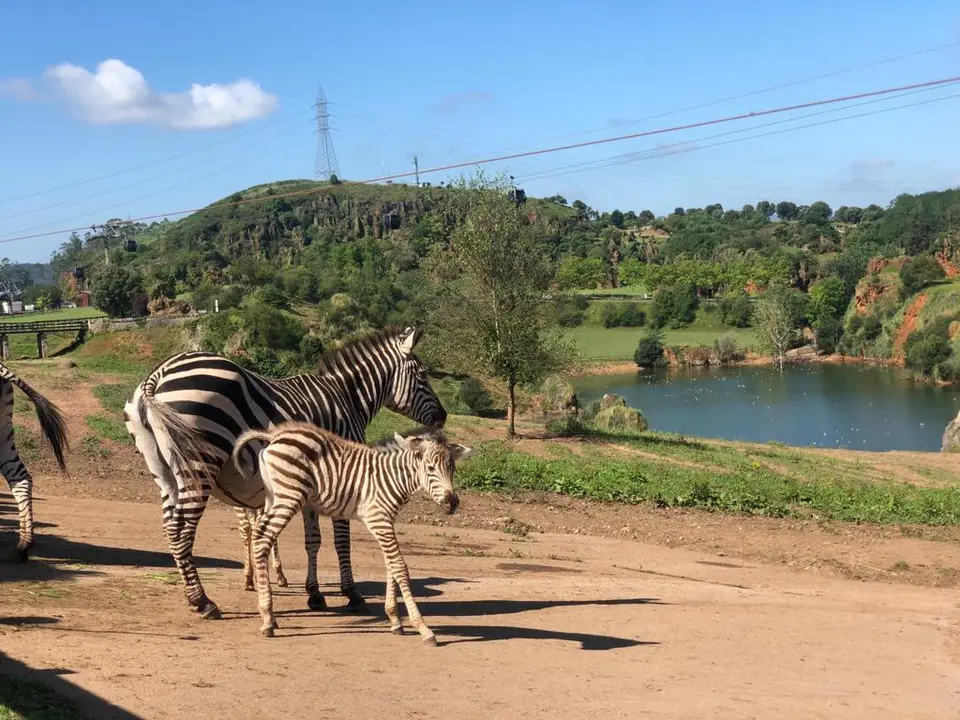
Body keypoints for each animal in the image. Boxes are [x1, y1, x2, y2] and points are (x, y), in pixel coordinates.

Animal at [123, 325, 448, 620]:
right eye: (422, 376)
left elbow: (312, 539)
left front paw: (314, 594)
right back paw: (202, 601)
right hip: (200, 463)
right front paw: (352, 594)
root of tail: (159, 374)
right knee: (182, 529)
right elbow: (341, 539)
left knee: (171, 528)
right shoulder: (345, 472)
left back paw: (195, 596)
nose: (443, 417)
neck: (348, 399)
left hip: (165, 474)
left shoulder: (316, 482)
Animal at [229, 422, 472, 642]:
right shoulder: (378, 519)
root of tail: (274, 435)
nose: (452, 503)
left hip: (274, 498)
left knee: (260, 536)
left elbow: (390, 566)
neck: (391, 478)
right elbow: (400, 567)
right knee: (262, 538)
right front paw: (422, 627)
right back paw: (267, 618)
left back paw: (269, 610)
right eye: (430, 468)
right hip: (288, 497)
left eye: (453, 469)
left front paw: (395, 620)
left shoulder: (386, 521)